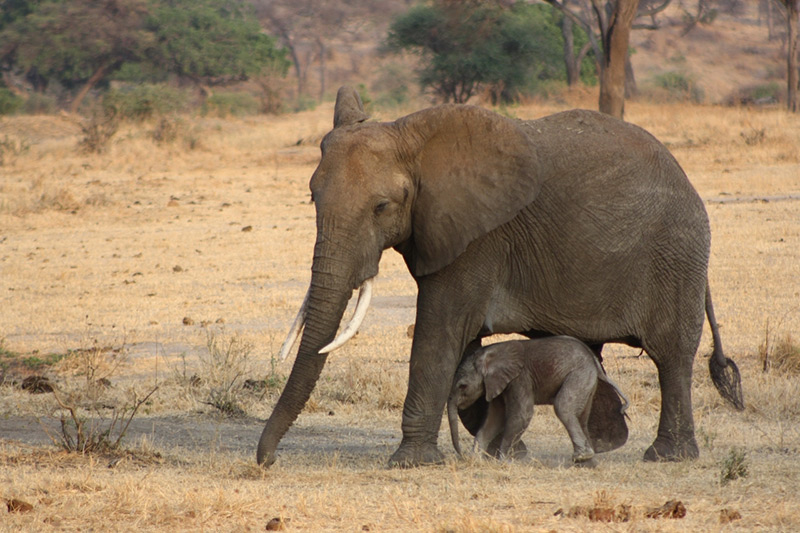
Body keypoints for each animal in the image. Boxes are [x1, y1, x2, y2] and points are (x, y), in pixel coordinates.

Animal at [446, 336, 629, 465]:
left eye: (462, 386)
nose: (461, 455)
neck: (491, 352)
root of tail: (595, 363)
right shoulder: (497, 383)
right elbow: (494, 419)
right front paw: (475, 459)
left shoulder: (520, 378)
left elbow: (522, 414)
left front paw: (503, 461)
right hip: (587, 380)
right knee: (582, 417)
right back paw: (587, 462)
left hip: (579, 374)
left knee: (563, 407)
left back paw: (581, 456)